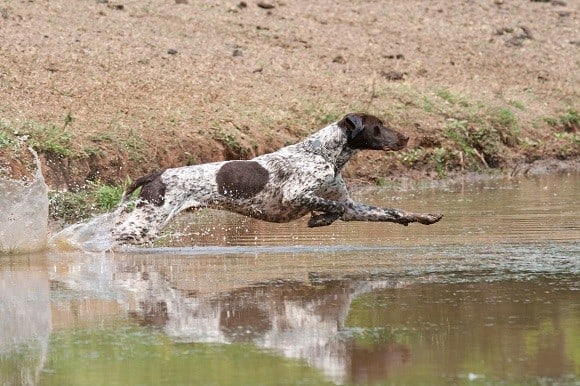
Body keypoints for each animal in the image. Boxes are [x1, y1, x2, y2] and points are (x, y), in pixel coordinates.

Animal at [113, 112, 442, 244]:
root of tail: (158, 173)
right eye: (379, 125)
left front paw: (425, 216)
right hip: (147, 222)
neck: (325, 154)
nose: (407, 137)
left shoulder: (352, 208)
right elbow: (330, 208)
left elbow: (392, 211)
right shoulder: (296, 195)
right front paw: (319, 219)